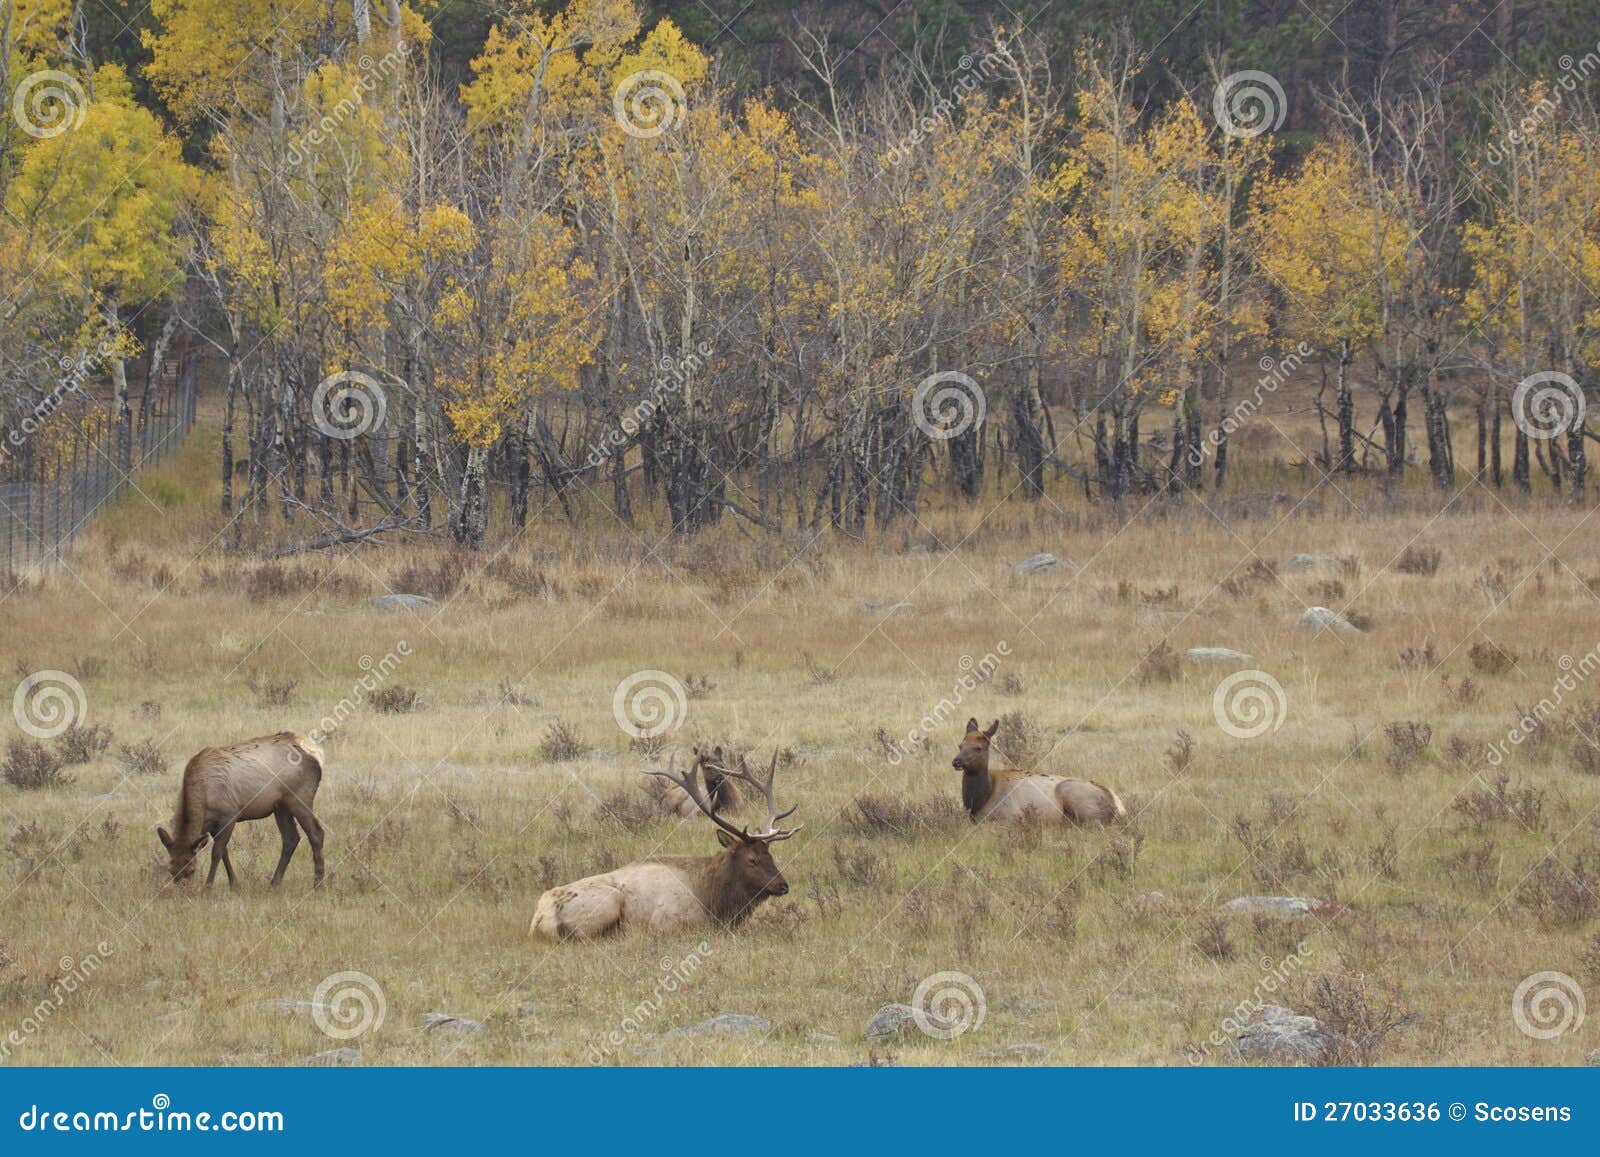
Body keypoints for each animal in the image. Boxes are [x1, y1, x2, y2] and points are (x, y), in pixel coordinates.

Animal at [156, 732, 327, 888]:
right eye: (171, 870)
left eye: (192, 869)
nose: (183, 891)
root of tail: (317, 755)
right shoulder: (211, 825)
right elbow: (224, 852)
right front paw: (234, 884)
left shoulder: (229, 814)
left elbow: (217, 852)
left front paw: (208, 887)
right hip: (281, 806)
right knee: (291, 838)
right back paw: (274, 883)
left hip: (300, 797)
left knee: (316, 833)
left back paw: (317, 884)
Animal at [531, 750, 801, 940]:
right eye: (751, 860)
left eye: (770, 855)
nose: (783, 885)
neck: (714, 899)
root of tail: (538, 920)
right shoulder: (671, 922)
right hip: (607, 903)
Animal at [952, 718, 1124, 826]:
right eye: (960, 745)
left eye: (978, 748)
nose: (956, 761)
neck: (979, 800)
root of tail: (1117, 807)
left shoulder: (1011, 817)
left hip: (1076, 799)